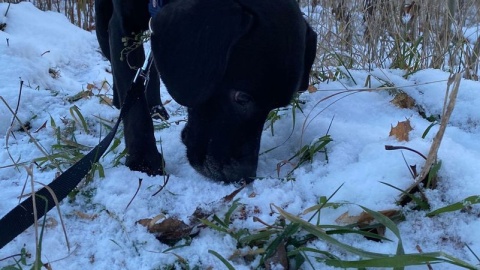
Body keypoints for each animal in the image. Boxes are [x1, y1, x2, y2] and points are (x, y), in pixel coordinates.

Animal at [95, 0, 316, 184]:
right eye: (242, 98)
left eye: (274, 108)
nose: (243, 175)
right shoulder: (122, 26)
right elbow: (134, 106)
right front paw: (143, 161)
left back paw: (156, 109)